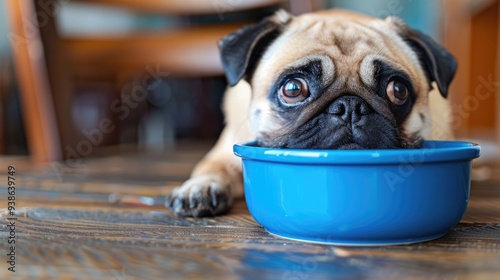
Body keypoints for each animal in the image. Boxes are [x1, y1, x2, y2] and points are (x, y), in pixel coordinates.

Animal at [167, 9, 458, 217]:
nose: (349, 106)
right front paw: (199, 187)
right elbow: (211, 167)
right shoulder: (224, 151)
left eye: (397, 90)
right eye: (294, 88)